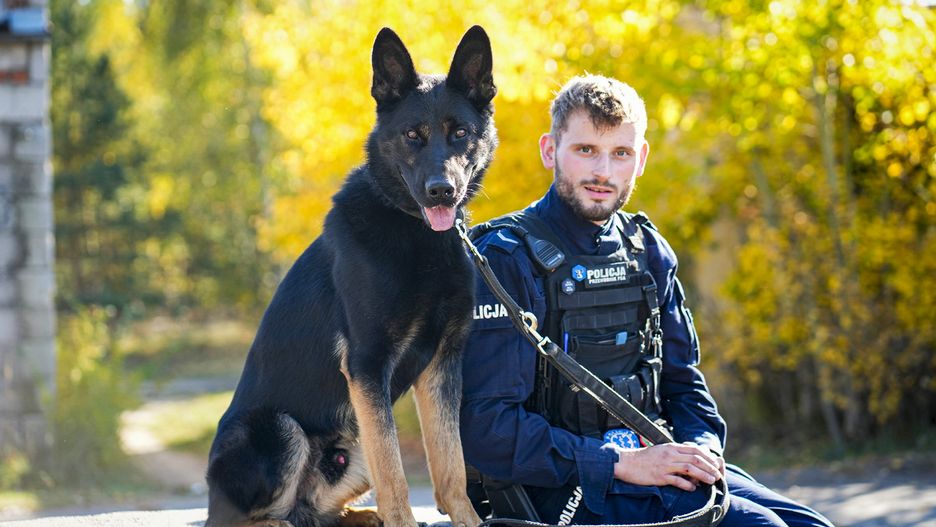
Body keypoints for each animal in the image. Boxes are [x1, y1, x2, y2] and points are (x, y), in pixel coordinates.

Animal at [205, 26, 497, 527]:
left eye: (460, 133)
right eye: (412, 136)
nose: (442, 192)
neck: (414, 232)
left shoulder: (443, 364)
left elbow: (451, 466)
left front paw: (466, 520)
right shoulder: (367, 364)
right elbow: (395, 473)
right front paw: (404, 521)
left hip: (352, 446)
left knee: (315, 510)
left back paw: (359, 515)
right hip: (281, 429)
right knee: (254, 516)